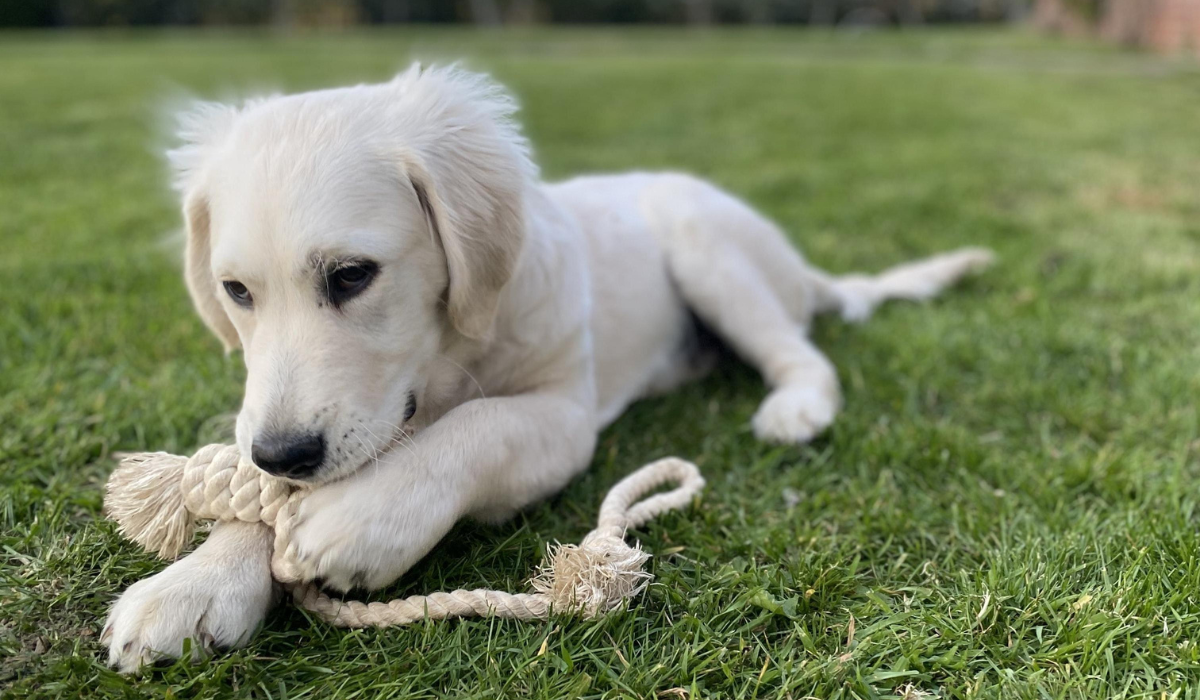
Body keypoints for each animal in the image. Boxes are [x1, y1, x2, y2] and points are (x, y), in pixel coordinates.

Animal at [103, 63, 988, 672]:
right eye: (236, 292)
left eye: (352, 275)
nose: (283, 454)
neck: (453, 354)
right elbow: (251, 503)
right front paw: (195, 585)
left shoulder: (562, 415)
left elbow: (480, 425)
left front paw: (363, 517)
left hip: (704, 240)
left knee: (801, 353)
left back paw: (795, 408)